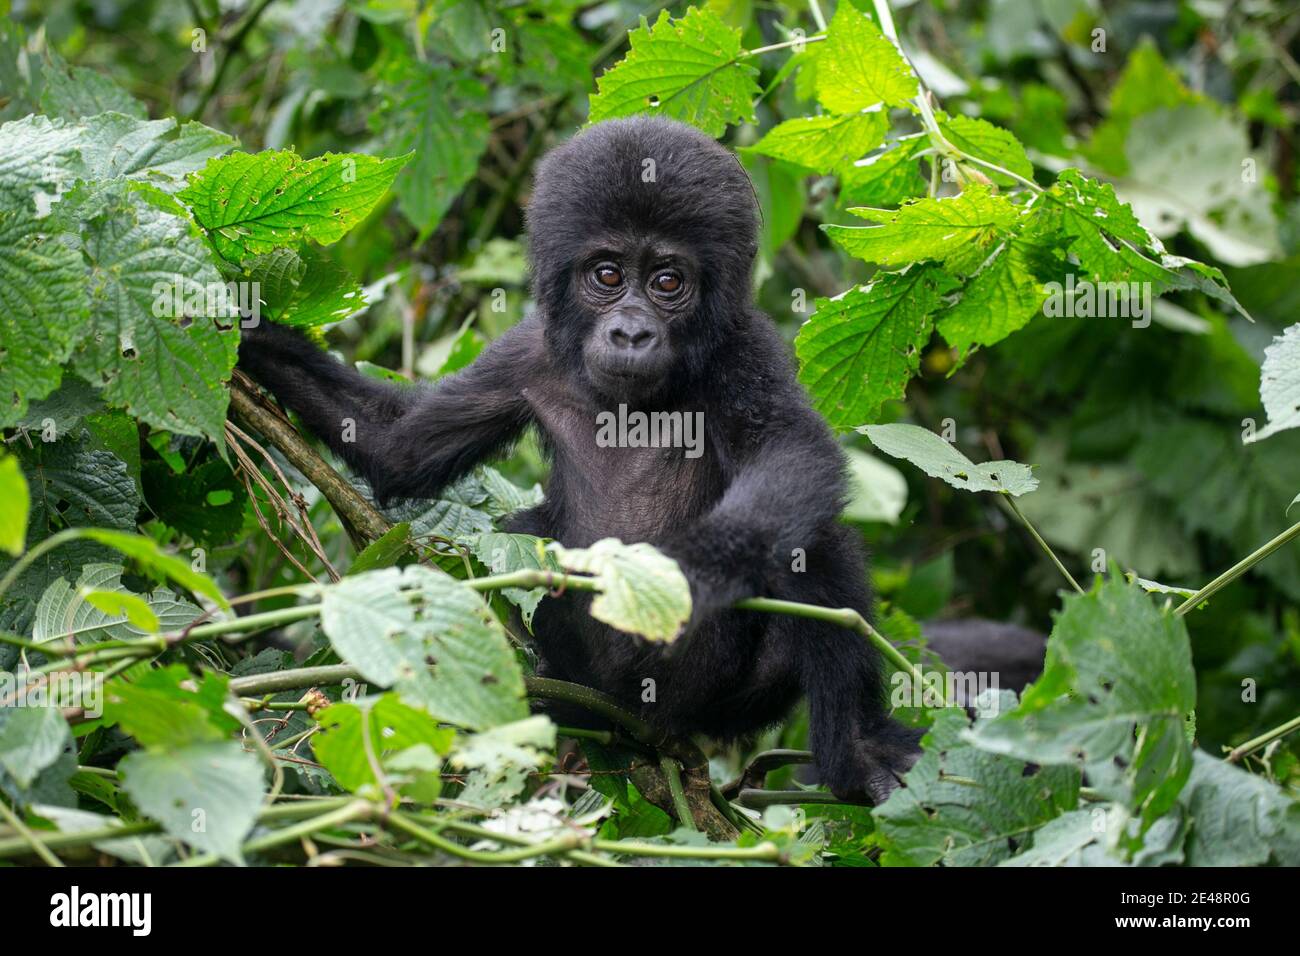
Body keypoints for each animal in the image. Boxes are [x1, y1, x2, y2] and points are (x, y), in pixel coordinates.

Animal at [236, 115, 925, 806]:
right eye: (608, 275)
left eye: (667, 282)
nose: (630, 332)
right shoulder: (527, 350)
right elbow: (397, 444)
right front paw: (244, 334)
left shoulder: (743, 349)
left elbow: (794, 457)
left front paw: (687, 573)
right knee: (524, 534)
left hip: (721, 704)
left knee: (815, 547)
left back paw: (856, 752)